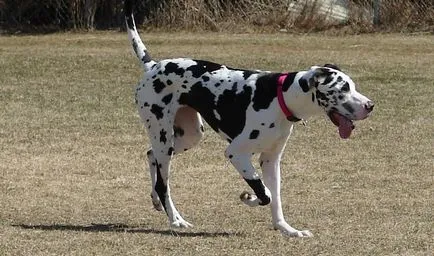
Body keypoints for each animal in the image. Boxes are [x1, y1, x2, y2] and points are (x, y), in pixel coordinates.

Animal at [124, 0, 372, 238]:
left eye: (353, 86)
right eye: (343, 89)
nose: (370, 105)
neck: (280, 97)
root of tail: (153, 66)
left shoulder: (271, 160)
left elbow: (275, 198)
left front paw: (287, 230)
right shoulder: (236, 153)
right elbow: (265, 193)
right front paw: (249, 198)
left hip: (188, 136)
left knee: (151, 155)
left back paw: (157, 200)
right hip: (164, 138)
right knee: (163, 182)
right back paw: (176, 219)